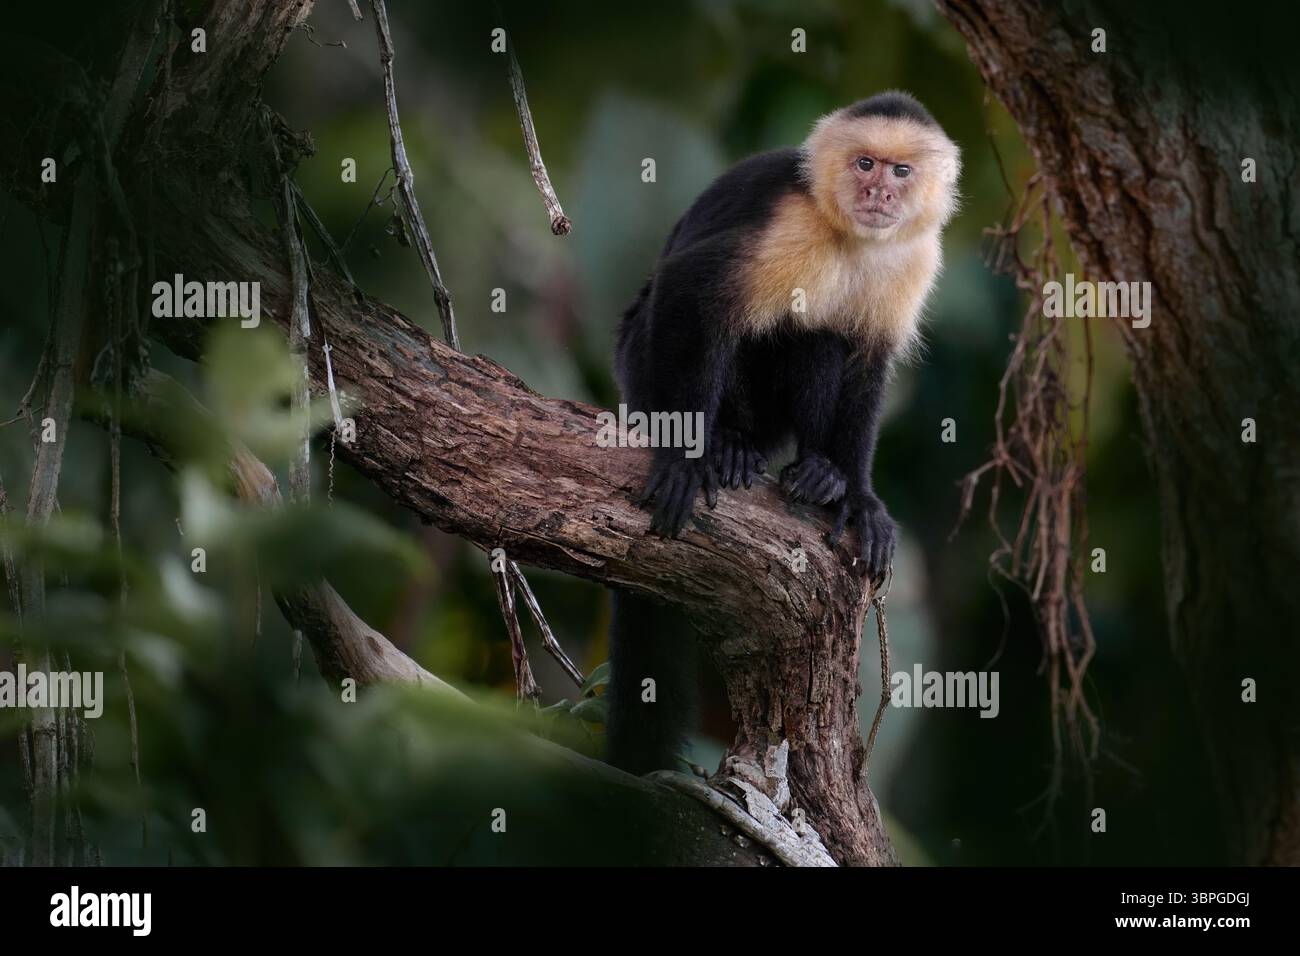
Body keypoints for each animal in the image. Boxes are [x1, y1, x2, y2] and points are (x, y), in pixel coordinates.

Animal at [605, 91, 961, 776]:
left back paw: (818, 474)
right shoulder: (788, 222)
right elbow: (691, 290)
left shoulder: (916, 257)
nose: (878, 191)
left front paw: (859, 497)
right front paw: (686, 455)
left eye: (900, 171)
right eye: (865, 162)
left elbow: (869, 362)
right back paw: (726, 445)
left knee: (821, 339)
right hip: (640, 364)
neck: (851, 236)